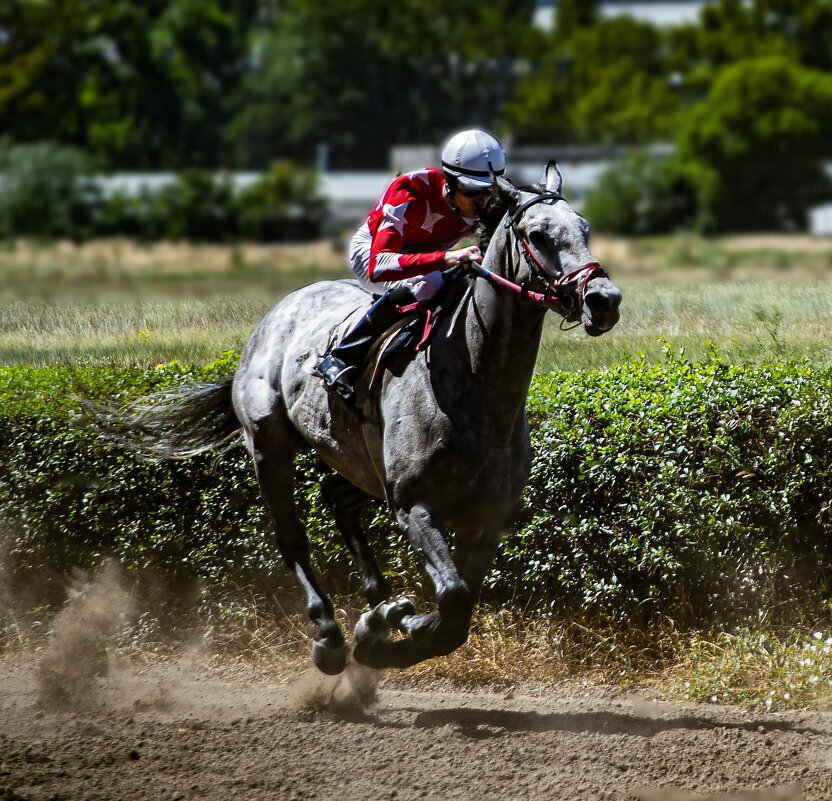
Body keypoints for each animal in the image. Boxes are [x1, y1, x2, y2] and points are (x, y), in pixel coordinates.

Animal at [107, 164, 620, 676]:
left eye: (585, 228)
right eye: (538, 234)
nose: (604, 299)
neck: (476, 387)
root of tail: (277, 314)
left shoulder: (486, 518)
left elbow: (459, 612)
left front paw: (387, 626)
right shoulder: (414, 505)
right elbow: (452, 598)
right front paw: (389, 635)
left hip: (363, 465)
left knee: (336, 497)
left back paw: (379, 604)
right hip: (268, 443)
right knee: (291, 537)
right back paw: (330, 635)